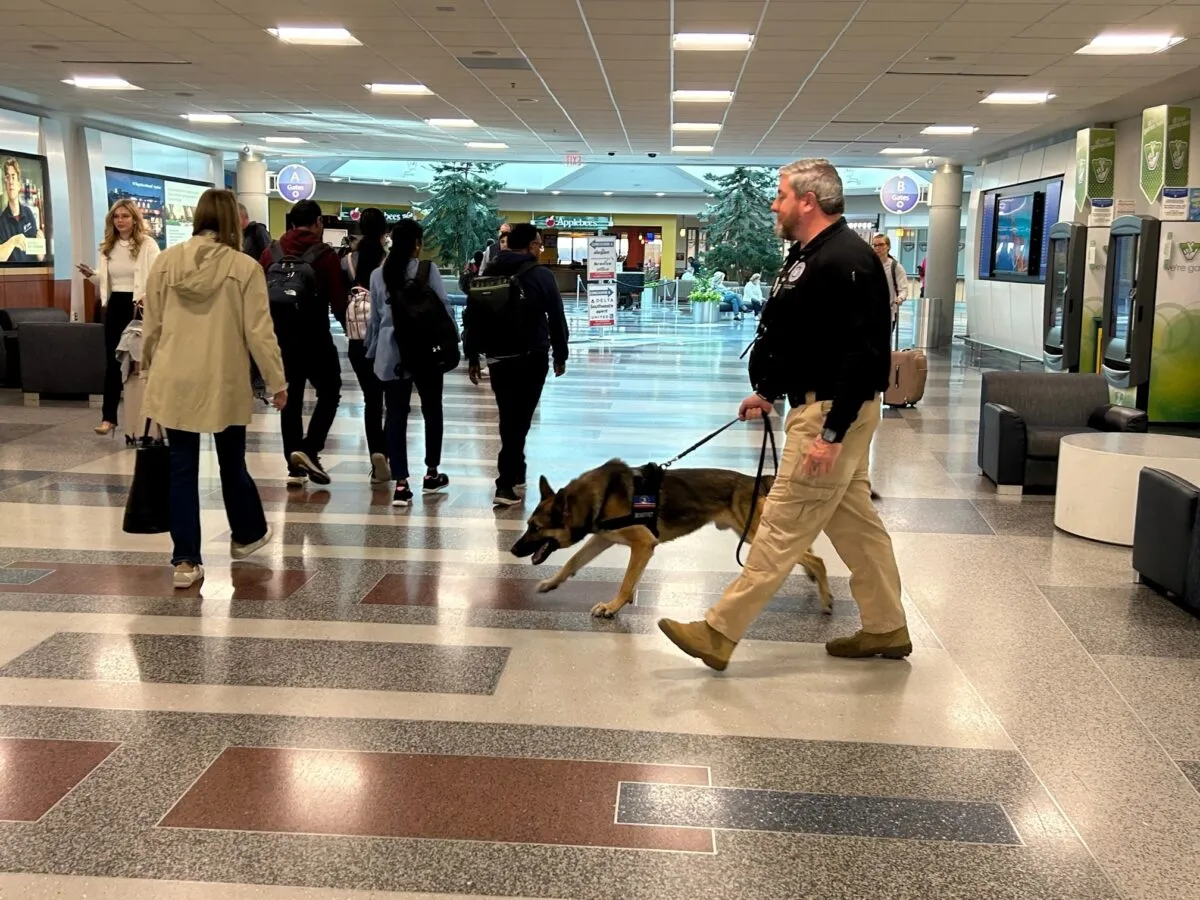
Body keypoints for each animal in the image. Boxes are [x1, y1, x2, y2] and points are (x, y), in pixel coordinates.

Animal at [511, 460, 830, 624]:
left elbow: (626, 582)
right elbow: (572, 562)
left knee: (816, 558)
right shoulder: (602, 539)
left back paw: (826, 598)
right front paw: (551, 583)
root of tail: (753, 480)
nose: (513, 550)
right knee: (801, 549)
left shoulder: (642, 545)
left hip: (752, 533)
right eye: (527, 525)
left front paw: (614, 606)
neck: (595, 499)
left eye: (536, 528)